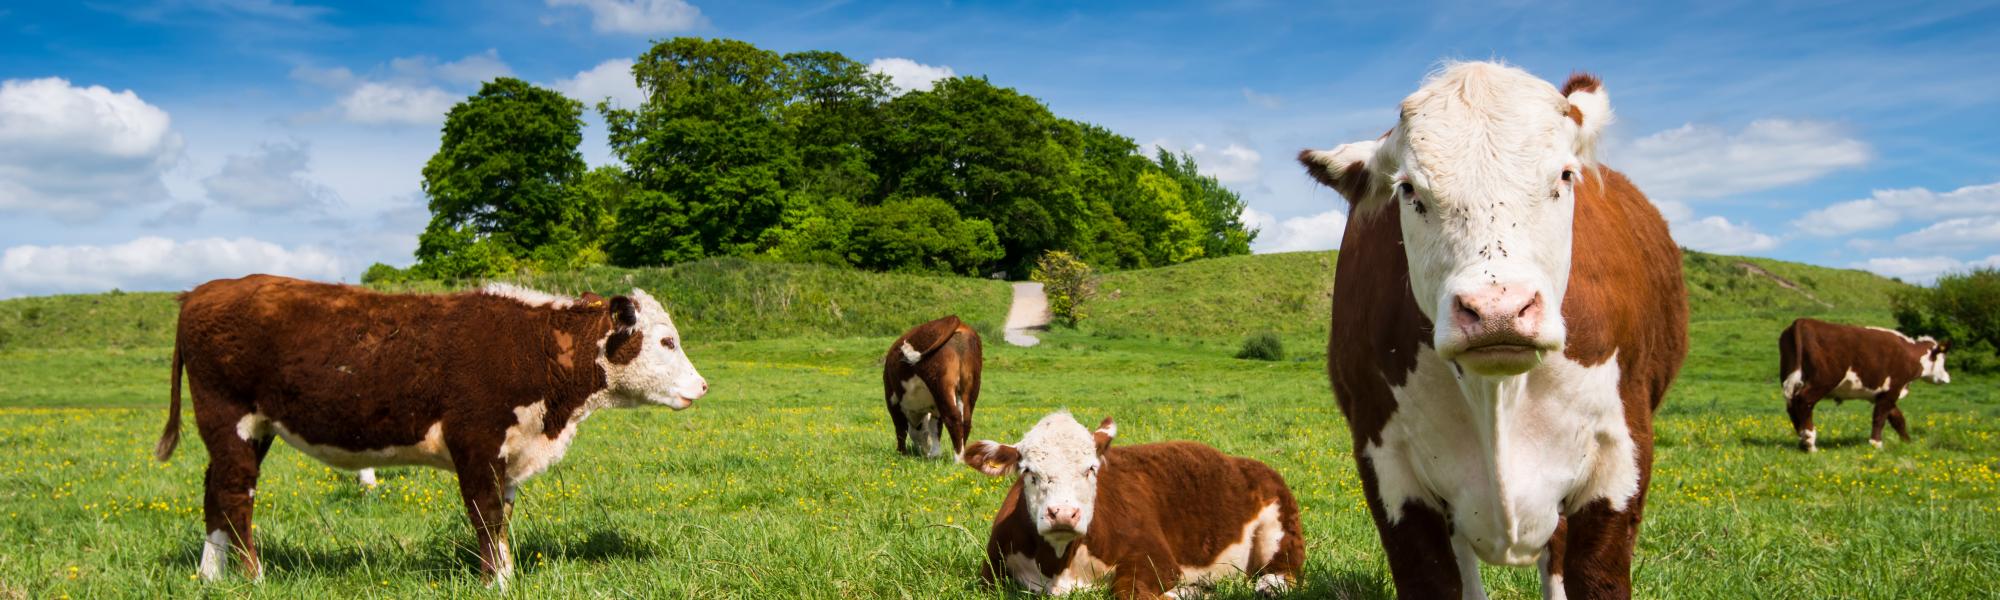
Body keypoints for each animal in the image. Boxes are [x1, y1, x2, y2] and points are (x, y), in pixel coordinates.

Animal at [154, 276, 712, 584]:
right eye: (666, 341)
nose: (703, 385)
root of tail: (204, 290)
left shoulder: (508, 452)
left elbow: (502, 515)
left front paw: (505, 573)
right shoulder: (477, 441)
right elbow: (486, 514)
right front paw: (498, 583)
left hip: (250, 428)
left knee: (214, 490)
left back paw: (211, 575)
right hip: (229, 416)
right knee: (235, 494)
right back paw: (254, 576)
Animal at [888, 316, 988, 458]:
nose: (923, 451)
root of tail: (953, 318)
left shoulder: (892, 399)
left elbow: (900, 428)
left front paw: (901, 453)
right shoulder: (935, 407)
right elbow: (935, 427)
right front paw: (935, 454)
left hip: (941, 384)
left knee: (953, 418)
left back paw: (958, 458)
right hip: (970, 386)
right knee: (966, 419)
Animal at [960, 412, 1304, 600]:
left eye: (1091, 469)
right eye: (1029, 472)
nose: (1064, 514)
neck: (1058, 566)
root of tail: (1246, 463)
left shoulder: (1156, 556)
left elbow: (1128, 592)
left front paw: (1187, 592)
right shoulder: (988, 571)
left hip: (1282, 528)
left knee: (1285, 571)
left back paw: (1268, 587)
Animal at [1296, 62, 1688, 600]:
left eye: (1565, 175)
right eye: (1409, 190)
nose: (1498, 309)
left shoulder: (1620, 458)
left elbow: (1595, 577)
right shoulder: (1389, 468)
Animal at [1784, 318, 1952, 450]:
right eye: (1942, 359)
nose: (1947, 378)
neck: (1909, 354)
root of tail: (1803, 322)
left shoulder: (1882, 394)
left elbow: (1897, 419)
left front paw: (1907, 442)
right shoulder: (1893, 390)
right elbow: (1880, 417)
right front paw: (1876, 443)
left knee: (1792, 405)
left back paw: (1802, 441)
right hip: (1822, 381)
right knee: (1804, 401)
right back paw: (1809, 443)